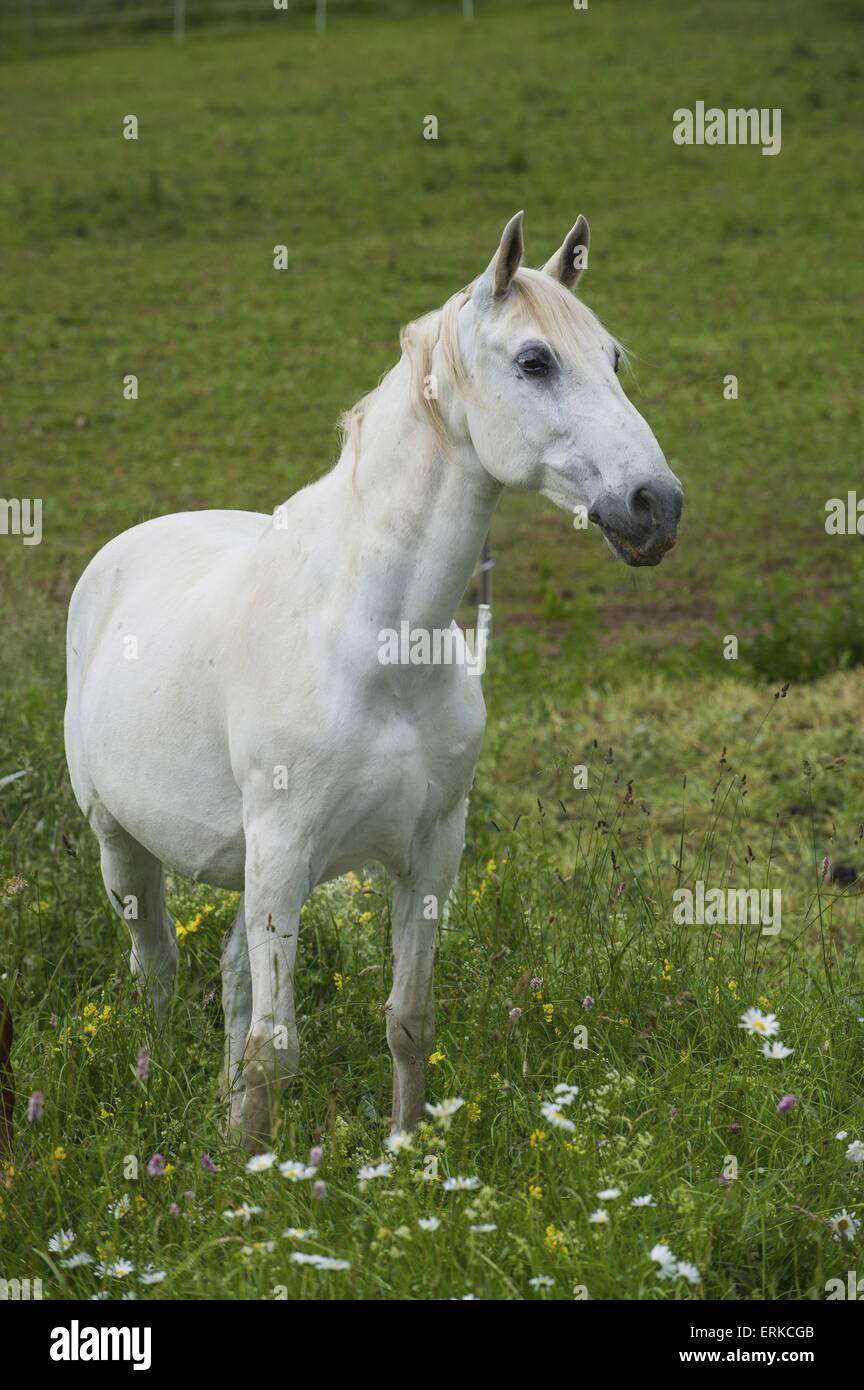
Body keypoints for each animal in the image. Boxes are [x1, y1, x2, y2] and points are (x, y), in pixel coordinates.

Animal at [65, 214, 683, 1139]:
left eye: (611, 357)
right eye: (535, 360)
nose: (656, 507)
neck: (377, 647)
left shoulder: (428, 853)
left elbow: (405, 1021)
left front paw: (400, 1156)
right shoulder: (284, 856)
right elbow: (278, 1048)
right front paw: (260, 1176)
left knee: (229, 979)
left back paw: (220, 1122)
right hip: (125, 847)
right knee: (159, 970)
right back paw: (162, 1091)